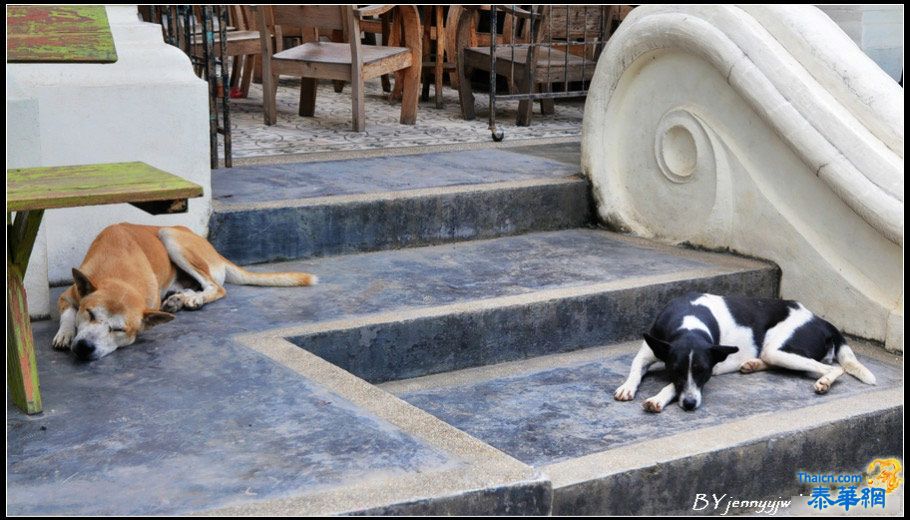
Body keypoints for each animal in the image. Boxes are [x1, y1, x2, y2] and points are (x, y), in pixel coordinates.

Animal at [53, 223, 318, 362]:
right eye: (90, 314)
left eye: (119, 330)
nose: (85, 347)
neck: (120, 271)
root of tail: (215, 250)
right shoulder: (67, 295)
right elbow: (68, 313)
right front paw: (65, 333)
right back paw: (181, 298)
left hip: (169, 236)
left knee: (217, 287)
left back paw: (194, 299)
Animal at [616, 294, 880, 412]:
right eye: (676, 369)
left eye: (703, 373)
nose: (690, 404)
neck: (690, 321)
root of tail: (822, 321)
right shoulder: (649, 350)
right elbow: (636, 368)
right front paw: (627, 386)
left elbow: (671, 387)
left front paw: (658, 398)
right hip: (774, 353)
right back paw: (752, 364)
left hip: (779, 349)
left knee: (834, 367)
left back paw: (824, 381)